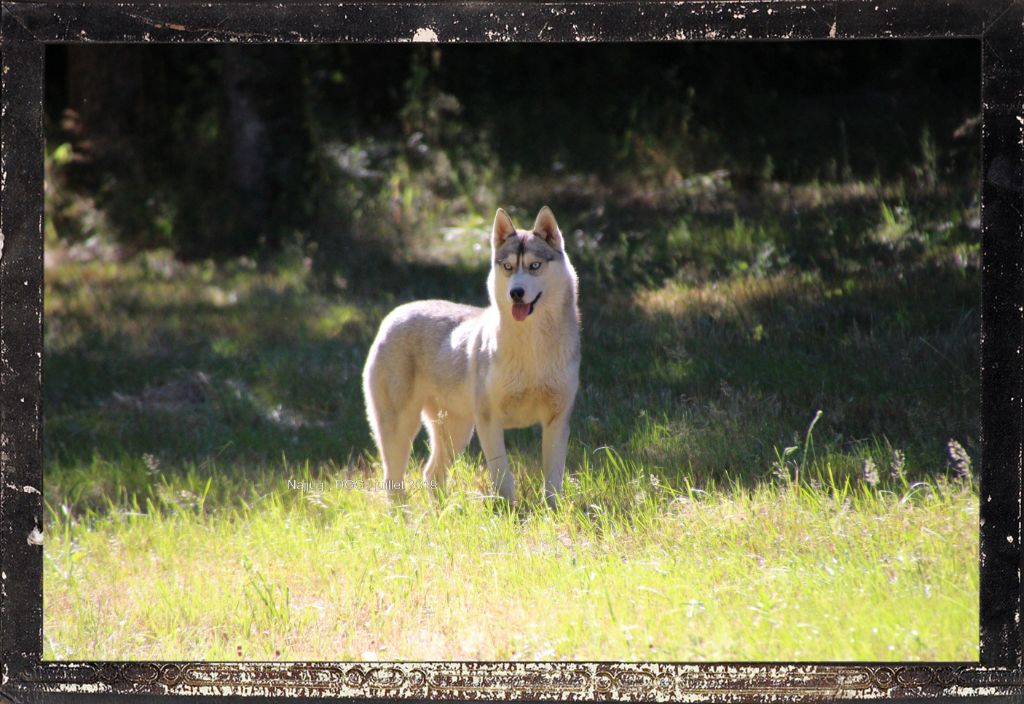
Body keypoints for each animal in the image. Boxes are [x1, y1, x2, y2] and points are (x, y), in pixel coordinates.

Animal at [364, 206, 581, 503]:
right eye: (508, 267)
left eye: (534, 266)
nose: (516, 293)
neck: (532, 349)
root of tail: (394, 313)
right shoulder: (489, 422)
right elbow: (503, 477)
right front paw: (509, 510)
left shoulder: (557, 420)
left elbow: (553, 481)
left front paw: (552, 509)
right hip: (401, 429)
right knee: (393, 481)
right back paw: (403, 513)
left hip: (456, 431)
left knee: (431, 473)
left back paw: (442, 511)